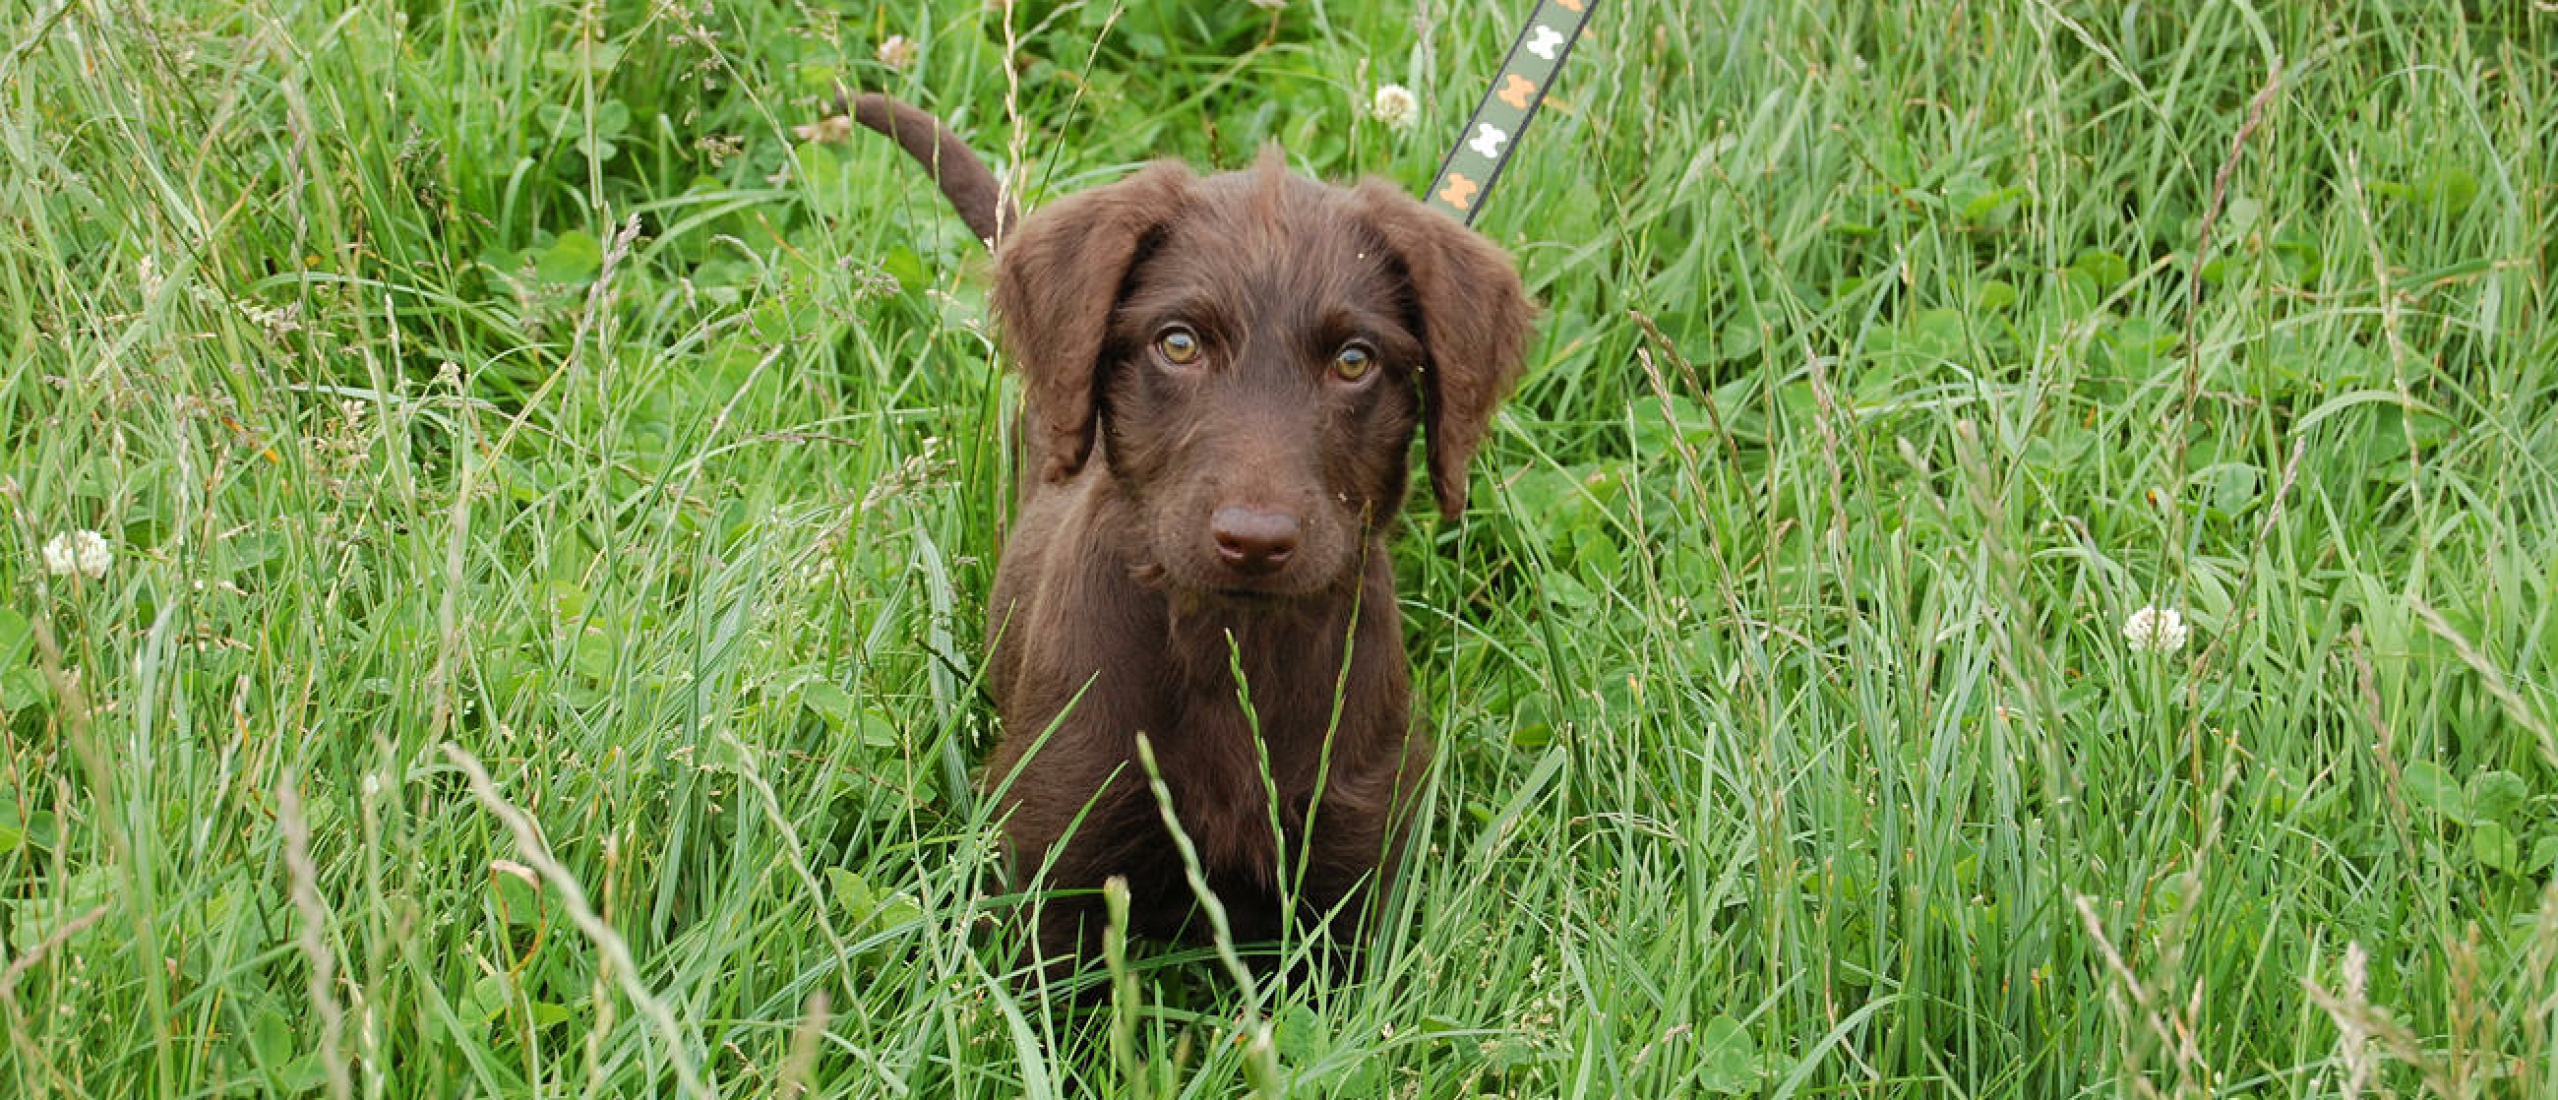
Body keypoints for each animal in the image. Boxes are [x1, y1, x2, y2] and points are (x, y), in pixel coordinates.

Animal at [854, 94, 1534, 977]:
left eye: (1354, 360)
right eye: (1178, 344)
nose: (1256, 541)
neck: (1229, 641)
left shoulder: (1357, 868)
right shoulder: (1051, 862)